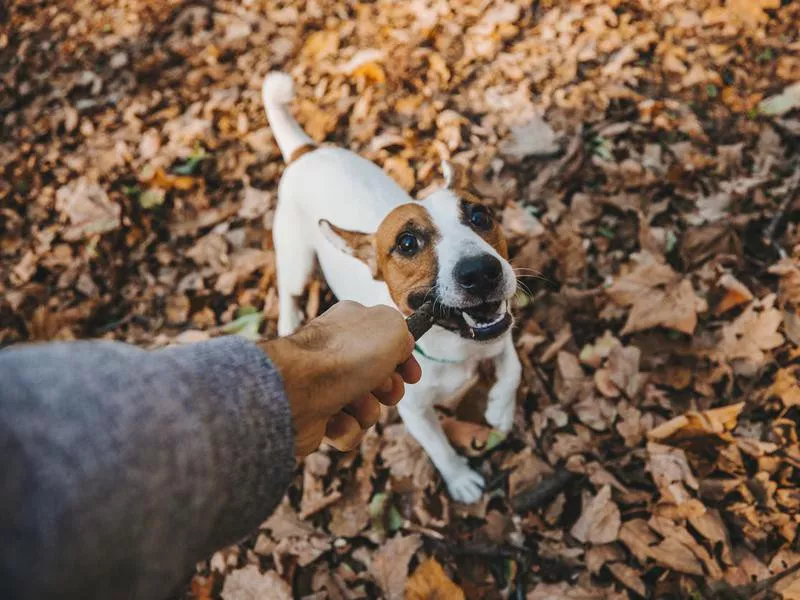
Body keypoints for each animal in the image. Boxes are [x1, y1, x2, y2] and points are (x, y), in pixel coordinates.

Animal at [266, 71, 520, 502]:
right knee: (289, 288)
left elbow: (513, 367)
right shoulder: (414, 412)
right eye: (407, 243)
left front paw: (500, 409)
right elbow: (439, 447)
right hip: (297, 258)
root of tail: (305, 153)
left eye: (479, 215)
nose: (481, 272)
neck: (455, 346)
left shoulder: (499, 337)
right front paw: (460, 479)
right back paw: (288, 321)